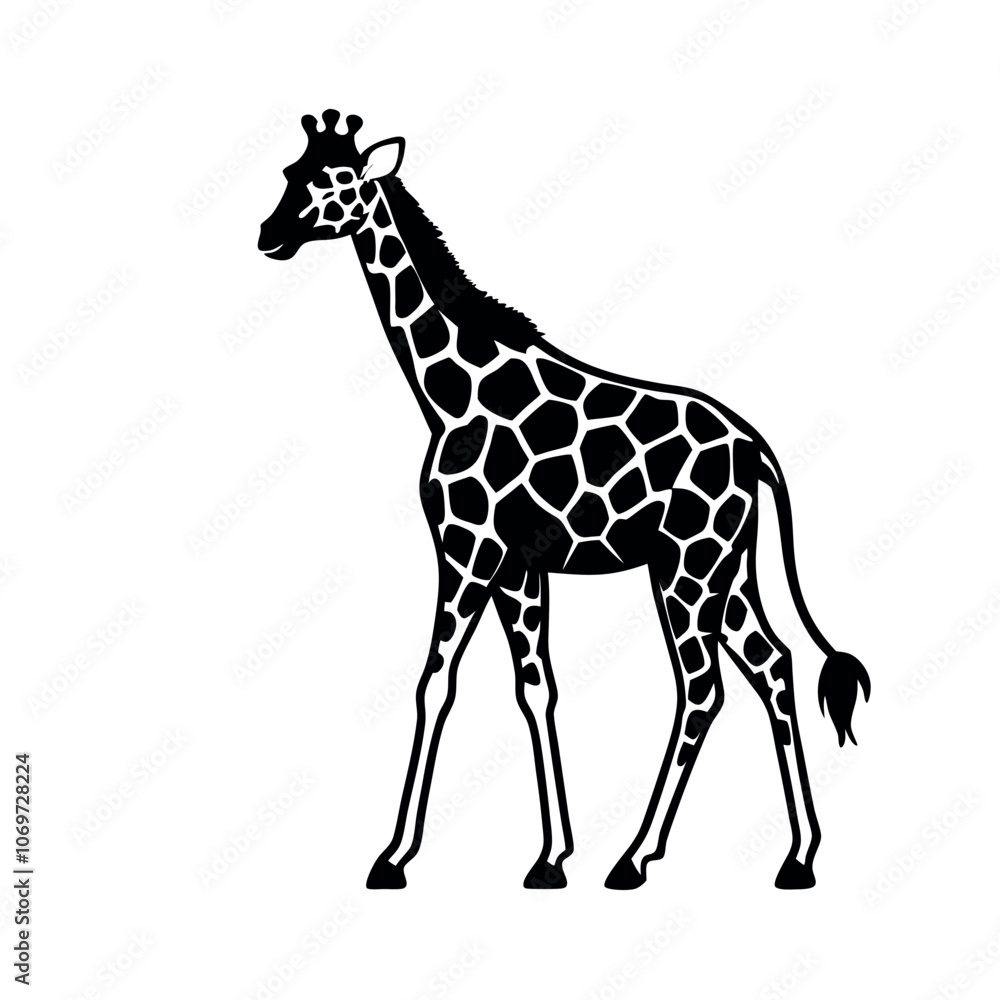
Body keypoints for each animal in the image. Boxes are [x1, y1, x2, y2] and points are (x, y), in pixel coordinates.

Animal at [259, 110, 871, 892]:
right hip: (726, 566)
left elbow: (434, 682)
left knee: (702, 685)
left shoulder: (467, 549)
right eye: (289, 174)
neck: (447, 393)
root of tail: (755, 449)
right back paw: (798, 857)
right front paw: (551, 857)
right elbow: (535, 688)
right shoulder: (518, 568)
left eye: (336, 181)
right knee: (773, 665)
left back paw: (636, 858)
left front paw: (393, 857)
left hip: (687, 567)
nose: (268, 234)